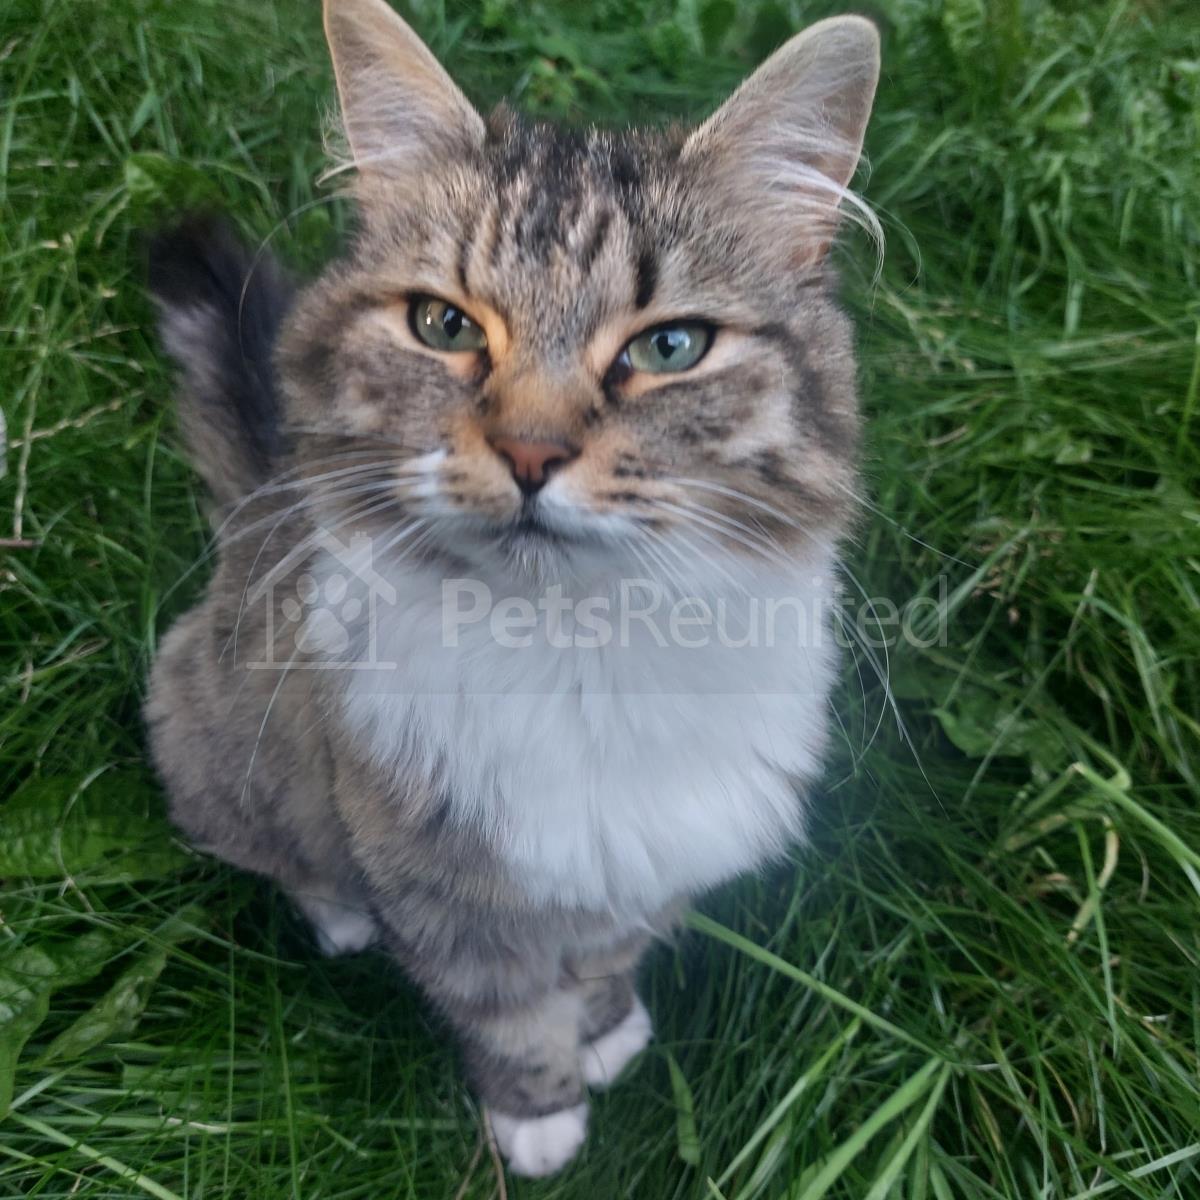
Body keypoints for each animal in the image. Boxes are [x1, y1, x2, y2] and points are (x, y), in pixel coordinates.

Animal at [144, 0, 879, 1177]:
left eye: (669, 347)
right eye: (445, 327)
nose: (532, 453)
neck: (578, 644)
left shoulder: (648, 861)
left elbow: (605, 960)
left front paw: (610, 1032)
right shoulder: (441, 888)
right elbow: (508, 1015)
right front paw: (540, 1121)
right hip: (210, 726)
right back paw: (336, 916)